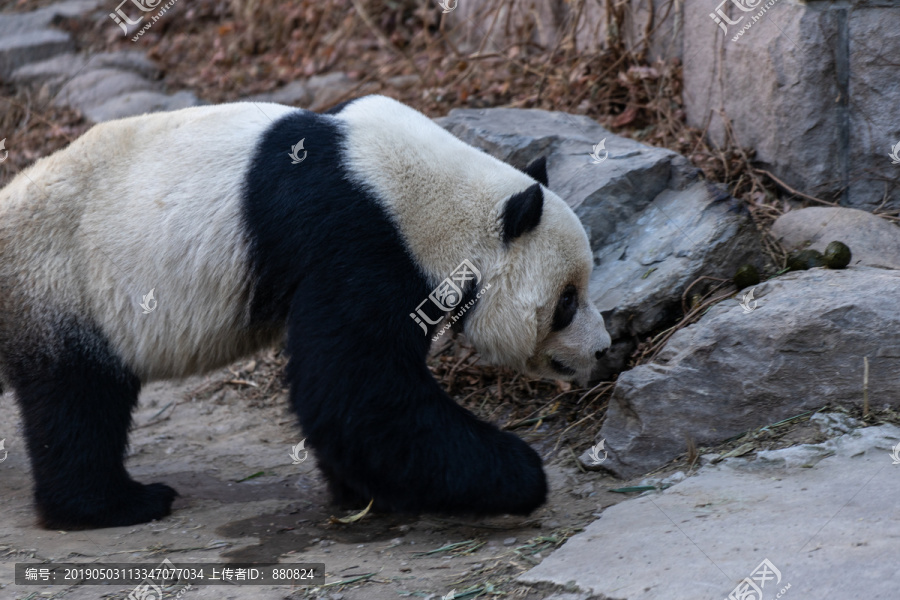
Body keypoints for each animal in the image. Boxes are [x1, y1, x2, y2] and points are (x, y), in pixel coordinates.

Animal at [0, 95, 612, 528]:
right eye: (566, 301)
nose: (603, 350)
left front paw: (365, 491)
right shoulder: (358, 236)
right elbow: (356, 392)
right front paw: (522, 474)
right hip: (60, 281)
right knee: (78, 402)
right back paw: (117, 504)